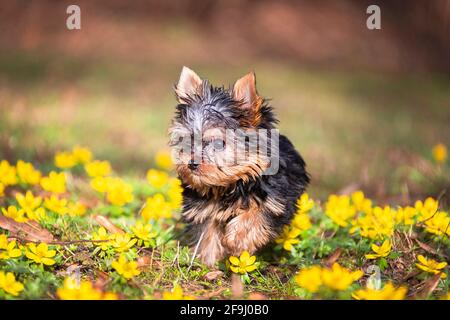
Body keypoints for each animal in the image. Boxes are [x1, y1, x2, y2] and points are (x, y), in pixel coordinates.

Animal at [169, 66, 310, 266]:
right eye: (188, 140)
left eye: (218, 143)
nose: (191, 163)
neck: (231, 183)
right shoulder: (203, 209)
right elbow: (207, 232)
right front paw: (207, 262)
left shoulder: (276, 200)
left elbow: (256, 214)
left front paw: (237, 240)